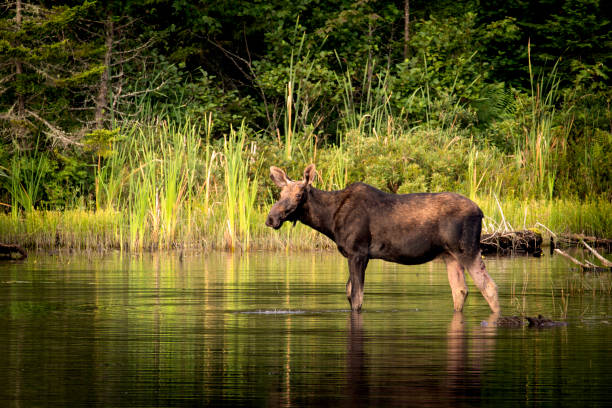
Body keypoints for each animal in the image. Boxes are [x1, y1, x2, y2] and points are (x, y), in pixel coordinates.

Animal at [266, 164, 500, 314]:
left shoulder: (358, 252)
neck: (329, 221)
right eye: (280, 195)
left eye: (298, 195)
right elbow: (350, 293)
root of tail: (481, 212)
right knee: (460, 290)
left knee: (488, 287)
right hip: (449, 255)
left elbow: (357, 297)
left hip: (467, 249)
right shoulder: (356, 255)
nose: (271, 218)